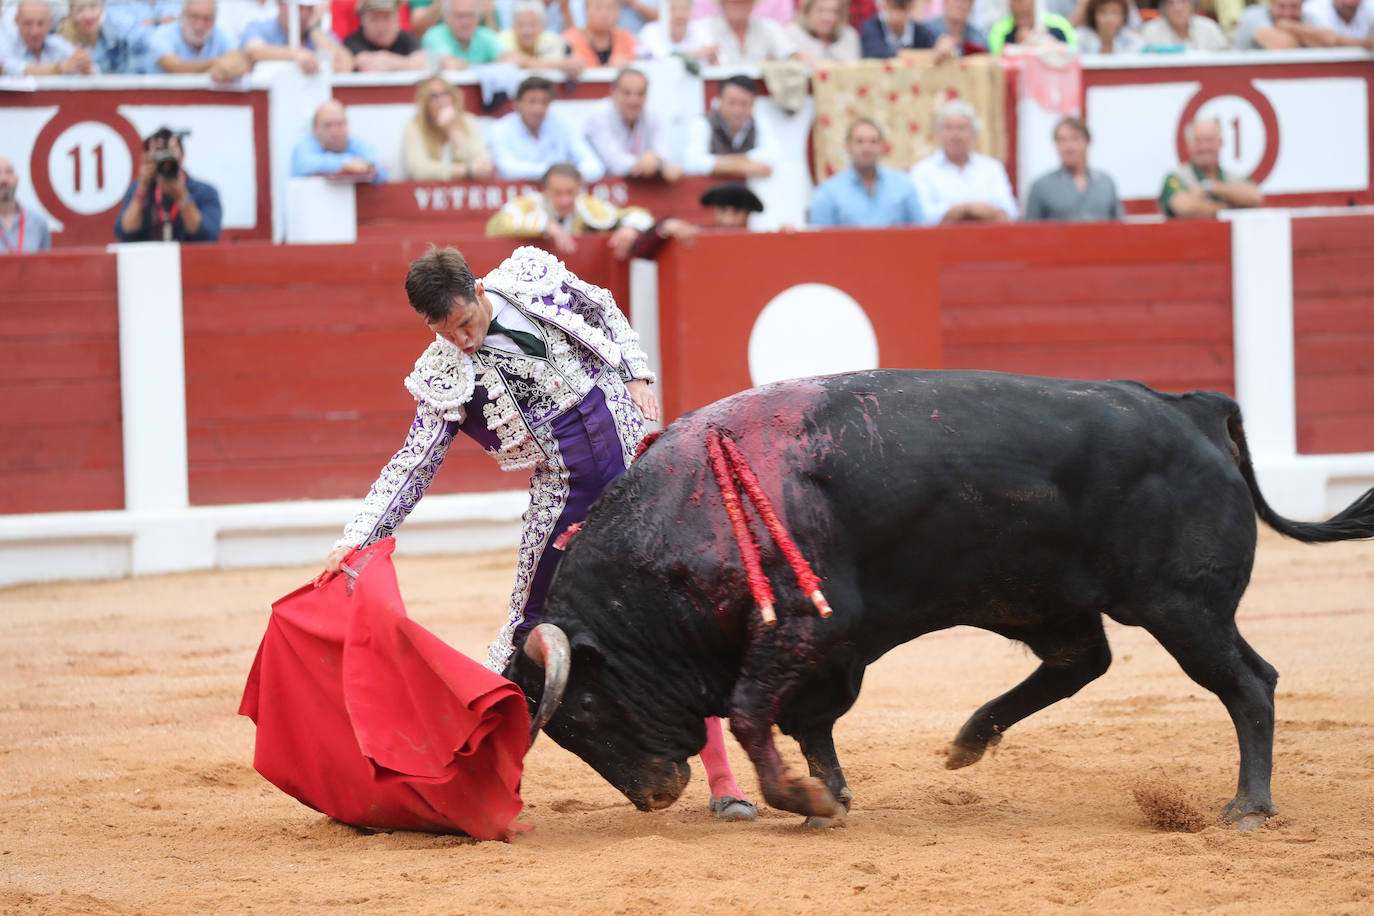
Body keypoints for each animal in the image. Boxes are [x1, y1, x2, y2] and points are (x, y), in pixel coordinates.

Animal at [508, 368, 1374, 829]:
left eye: (582, 714)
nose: (655, 796)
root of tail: (1188, 407)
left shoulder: (803, 629)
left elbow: (758, 716)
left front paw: (804, 799)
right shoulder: (828, 651)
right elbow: (808, 722)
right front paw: (829, 797)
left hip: (1182, 606)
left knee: (1247, 683)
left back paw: (1249, 805)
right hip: (1042, 595)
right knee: (1081, 660)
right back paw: (968, 739)